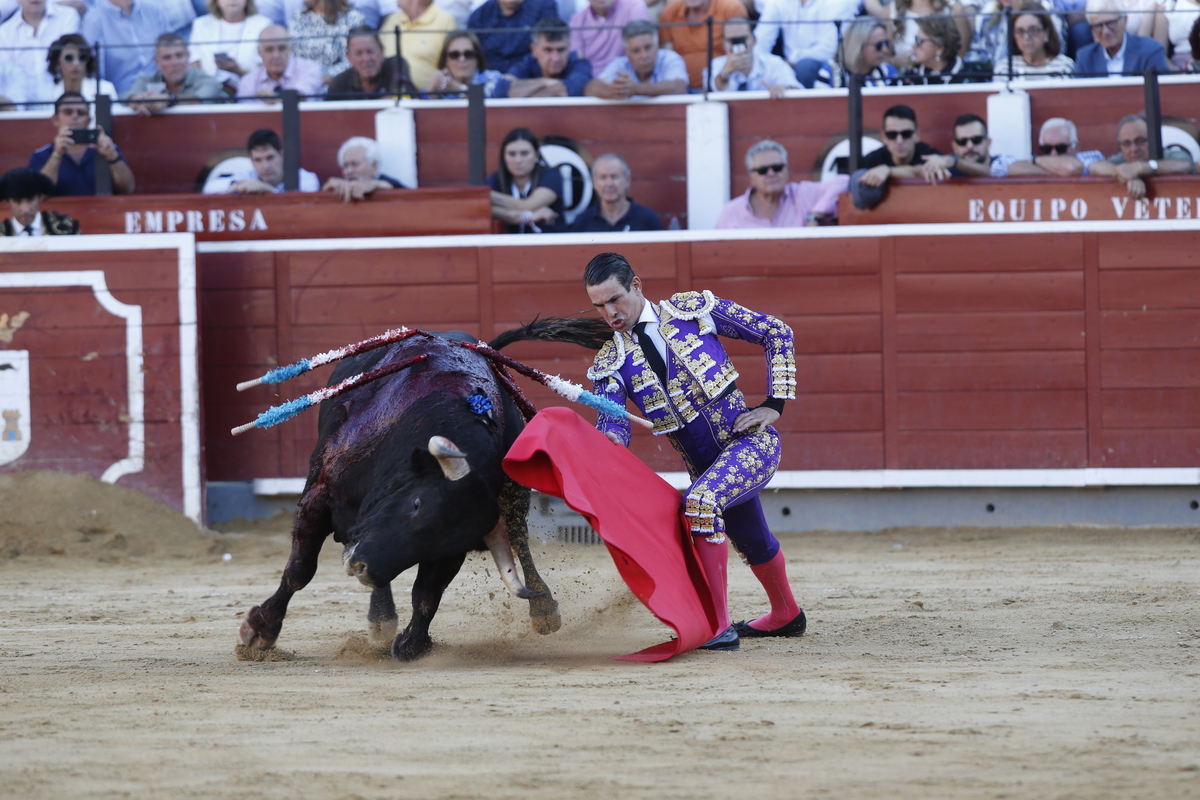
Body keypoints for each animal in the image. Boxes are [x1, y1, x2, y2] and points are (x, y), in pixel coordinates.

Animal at [237, 321, 609, 662]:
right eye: (416, 503)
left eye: (444, 541)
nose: (364, 568)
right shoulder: (319, 496)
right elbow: (300, 570)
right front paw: (260, 631)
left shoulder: (450, 550)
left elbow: (427, 593)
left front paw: (413, 642)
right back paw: (380, 617)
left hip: (514, 494)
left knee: (518, 536)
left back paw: (543, 609)